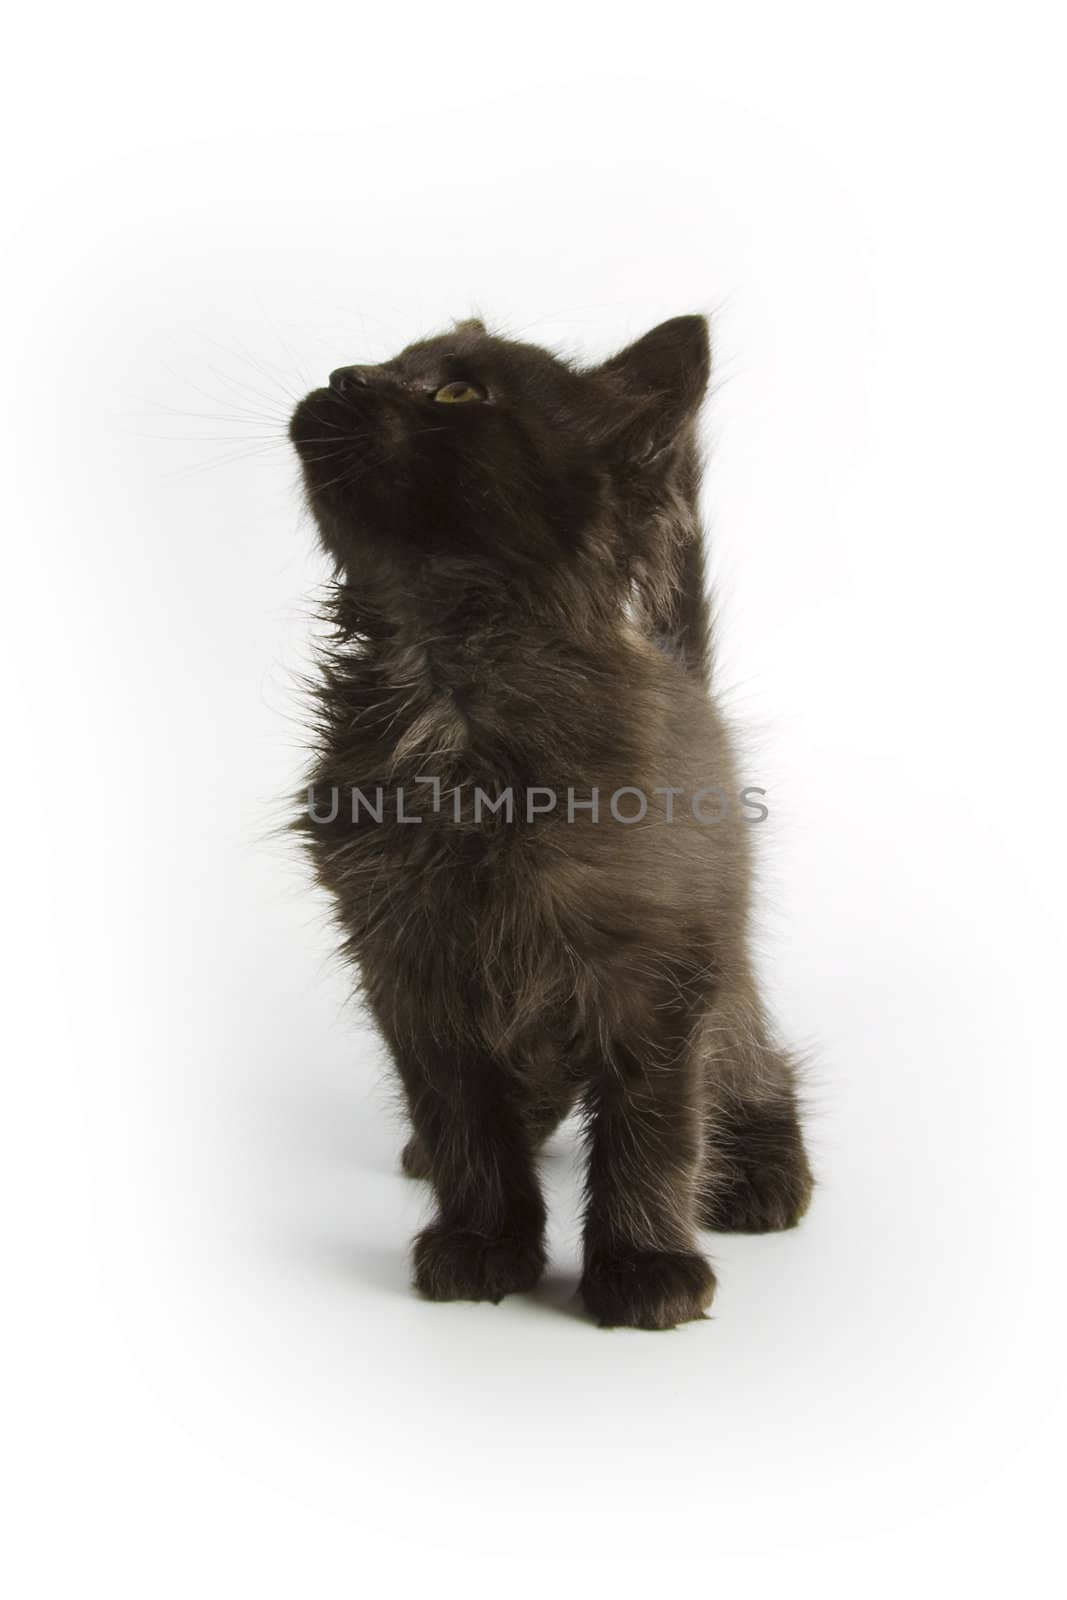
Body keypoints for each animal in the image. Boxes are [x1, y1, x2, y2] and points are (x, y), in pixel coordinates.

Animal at [287, 312, 812, 1324]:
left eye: (457, 393)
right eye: (392, 365)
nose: (342, 375)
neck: (444, 694)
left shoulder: (659, 969)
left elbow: (653, 1125)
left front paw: (644, 1264)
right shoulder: (411, 965)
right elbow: (462, 1119)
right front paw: (484, 1241)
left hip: (721, 965)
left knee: (748, 1053)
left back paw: (763, 1165)